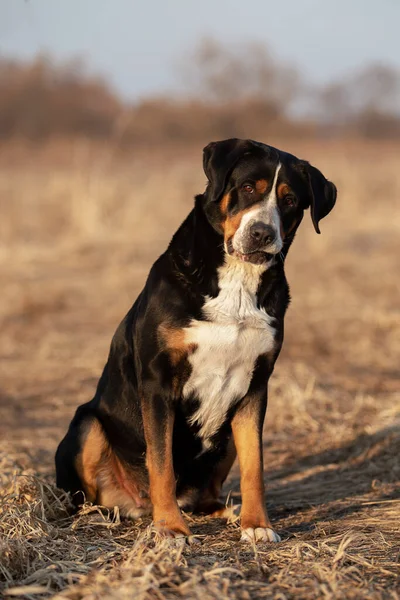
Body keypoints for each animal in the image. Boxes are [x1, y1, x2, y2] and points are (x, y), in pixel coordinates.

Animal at [55, 139, 338, 544]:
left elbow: (255, 467)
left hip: (225, 436)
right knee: (89, 495)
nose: (262, 233)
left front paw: (257, 524)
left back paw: (227, 512)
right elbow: (161, 464)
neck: (237, 281)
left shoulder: (255, 388)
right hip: (87, 425)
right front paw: (171, 529)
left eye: (289, 200)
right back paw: (104, 514)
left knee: (207, 493)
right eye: (247, 188)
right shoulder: (158, 384)